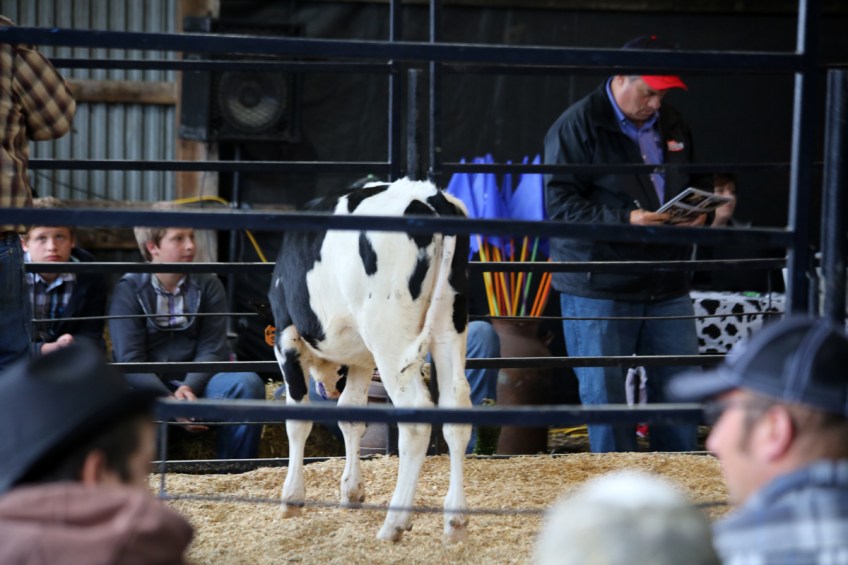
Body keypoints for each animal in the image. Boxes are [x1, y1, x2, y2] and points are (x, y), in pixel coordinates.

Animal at [268, 178, 472, 543]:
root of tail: (427, 196)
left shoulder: (286, 337)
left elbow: (298, 421)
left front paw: (291, 498)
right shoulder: (362, 358)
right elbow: (351, 415)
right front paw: (351, 491)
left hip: (390, 336)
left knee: (416, 417)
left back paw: (394, 523)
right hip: (449, 323)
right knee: (456, 407)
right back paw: (456, 522)